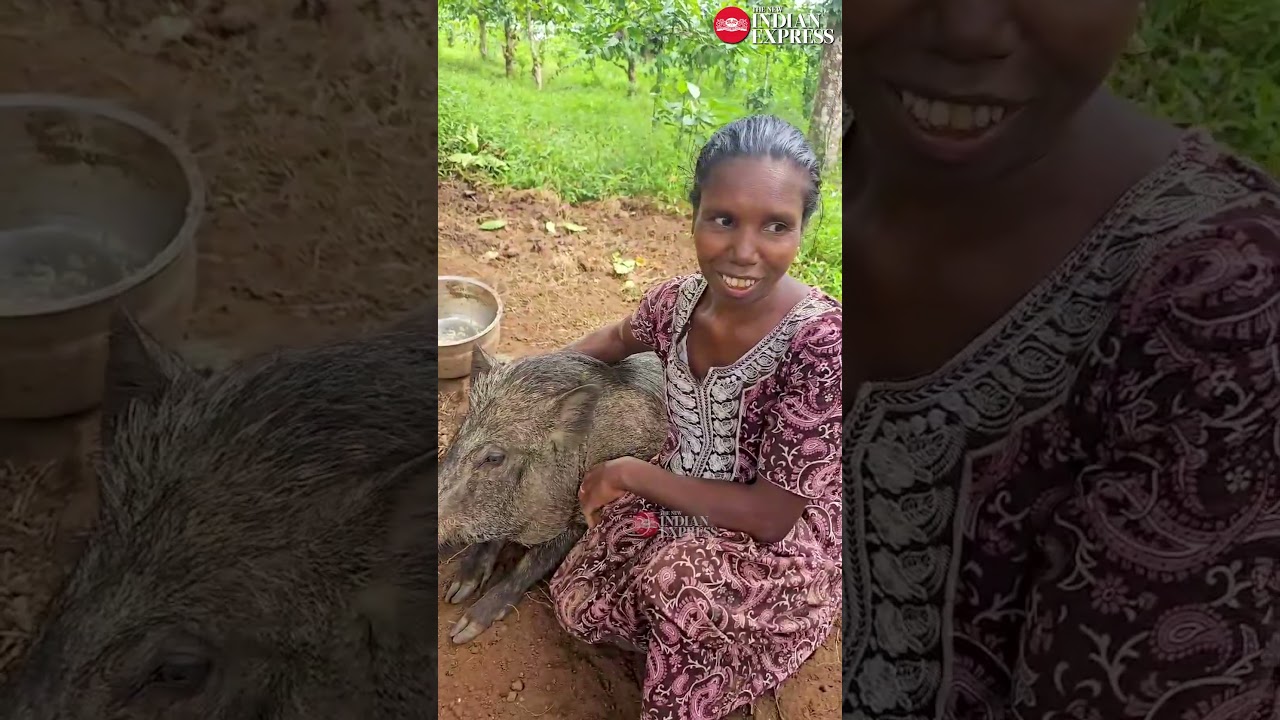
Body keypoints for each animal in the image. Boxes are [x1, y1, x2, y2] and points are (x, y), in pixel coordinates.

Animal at [438, 347, 667, 645]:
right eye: (458, 435)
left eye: (494, 458)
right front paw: (457, 592)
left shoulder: (581, 519)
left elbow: (532, 564)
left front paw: (463, 631)